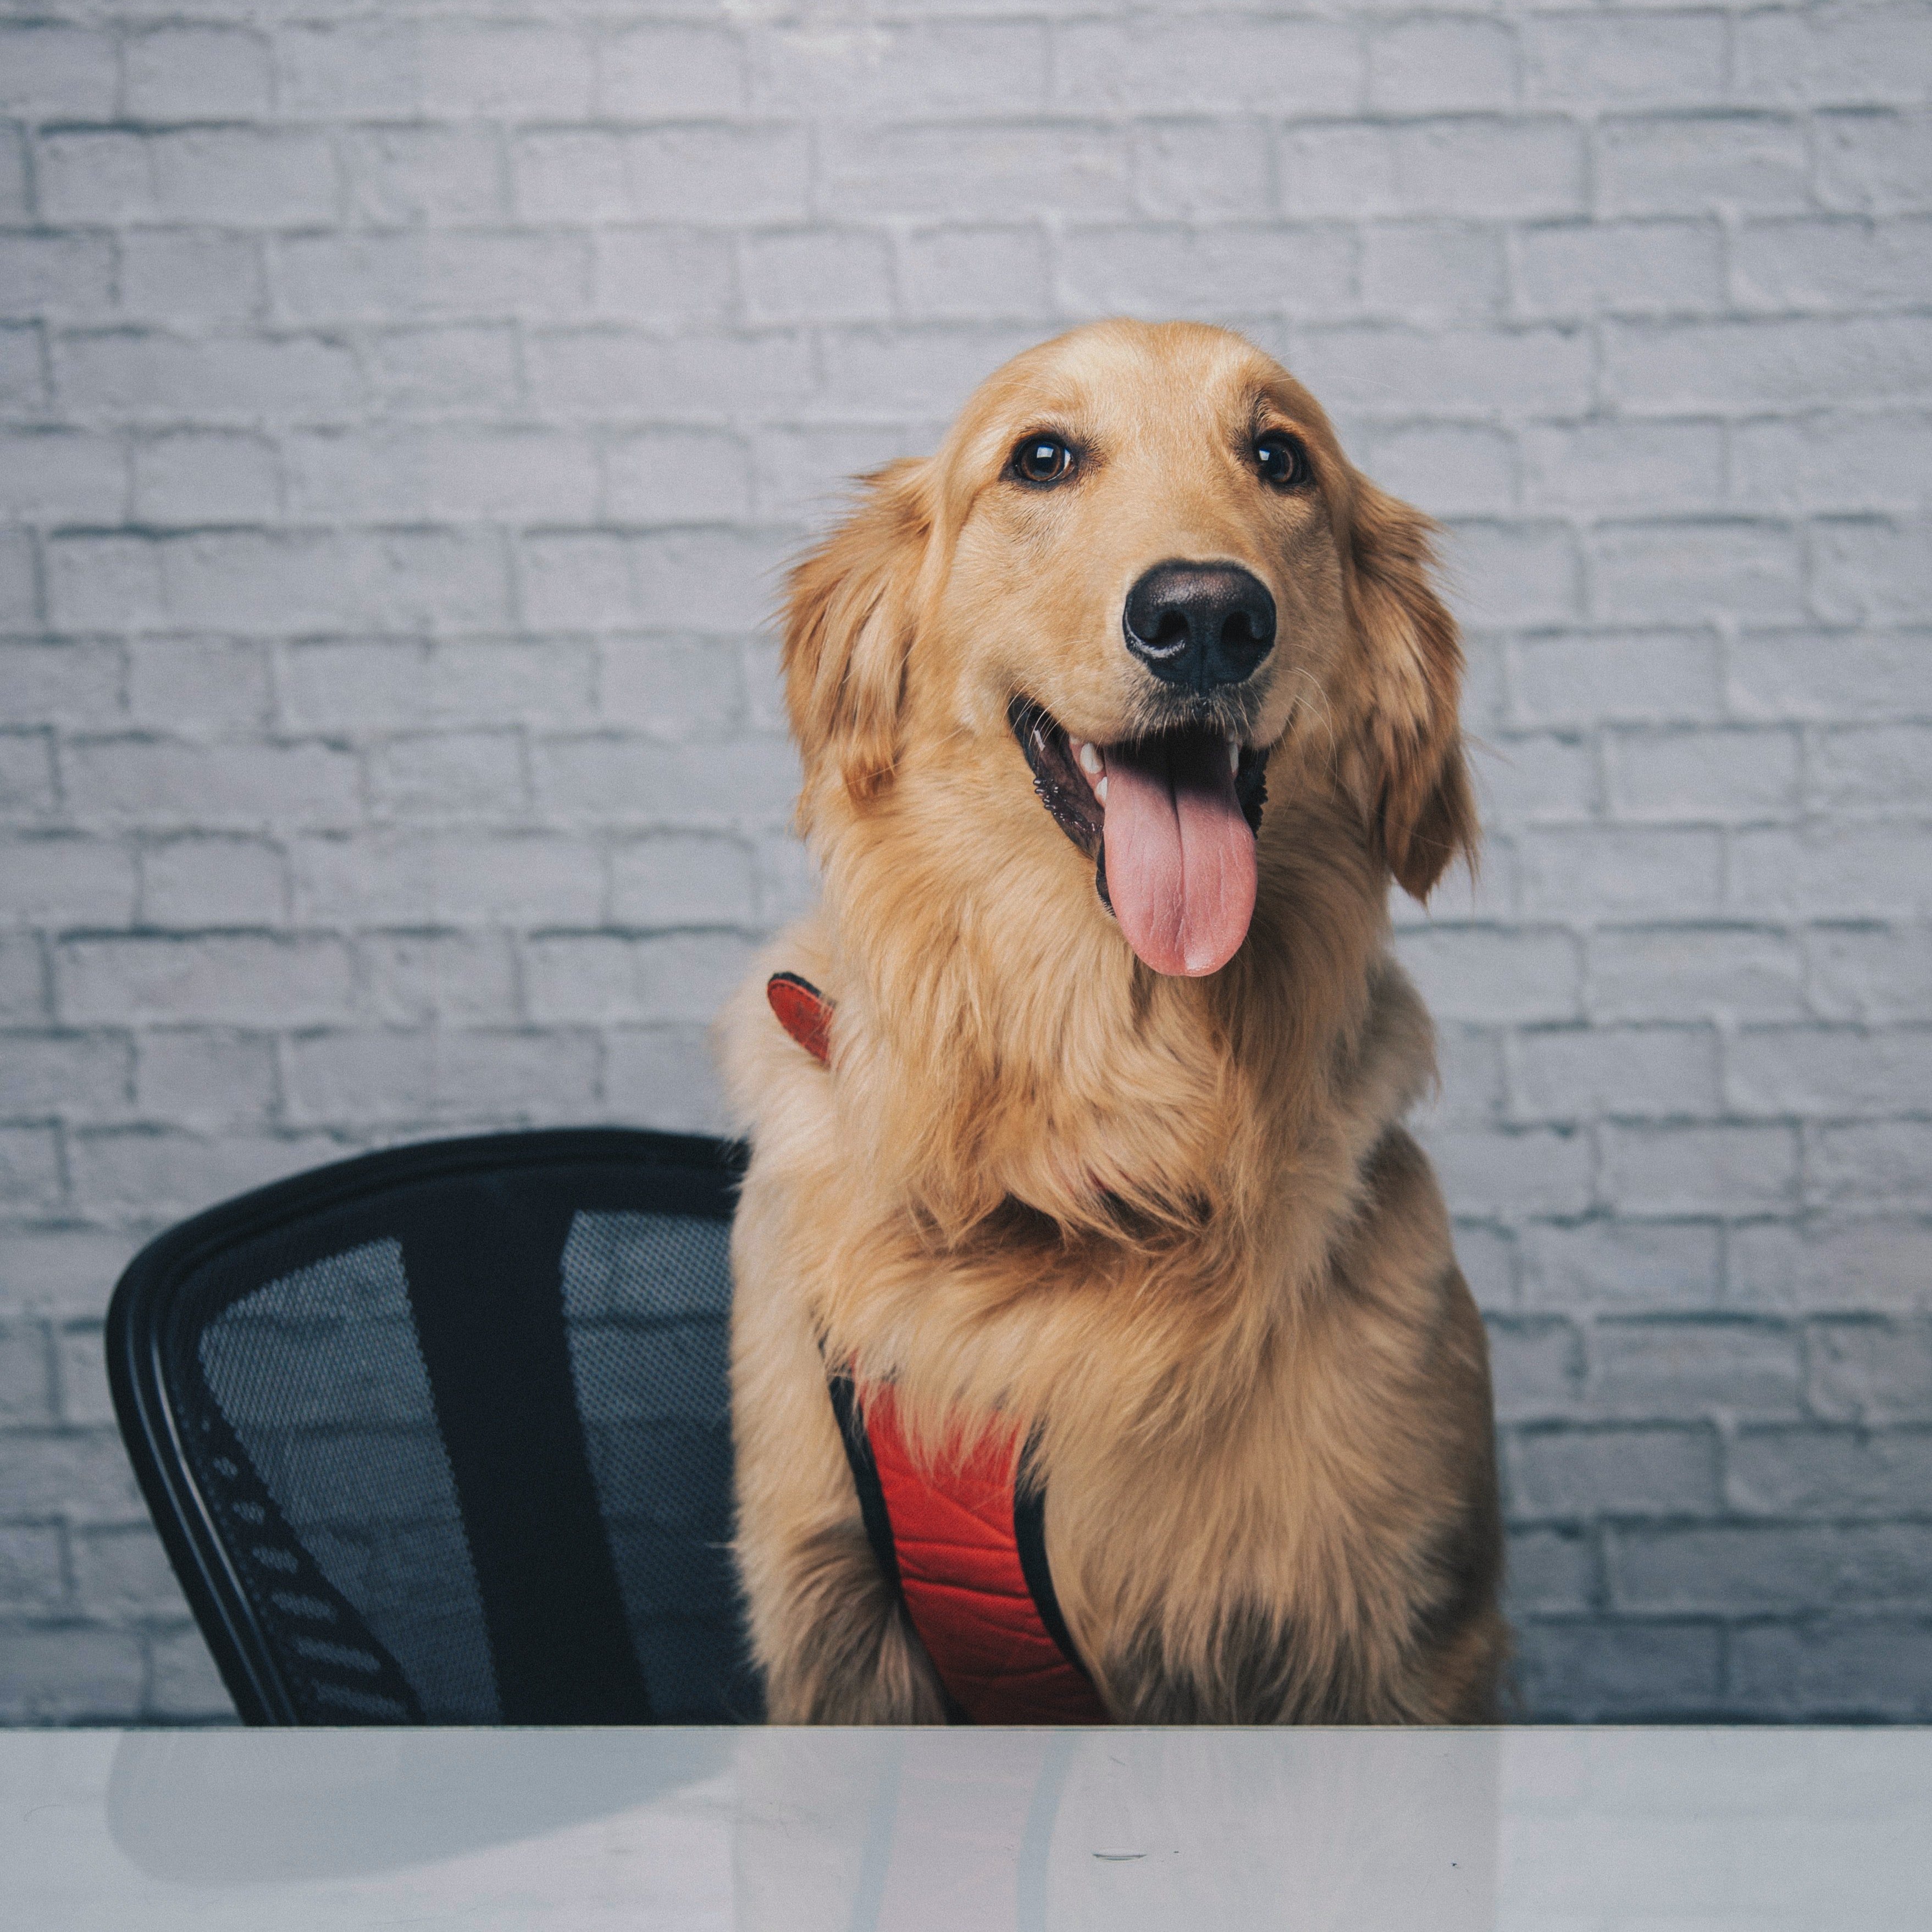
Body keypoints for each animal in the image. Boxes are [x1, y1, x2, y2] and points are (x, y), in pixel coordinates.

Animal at [718, 317, 1499, 1723]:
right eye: (1041, 457)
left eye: (1279, 458)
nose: (1204, 617)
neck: (1105, 1111)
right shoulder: (829, 1617)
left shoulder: (1404, 1631)